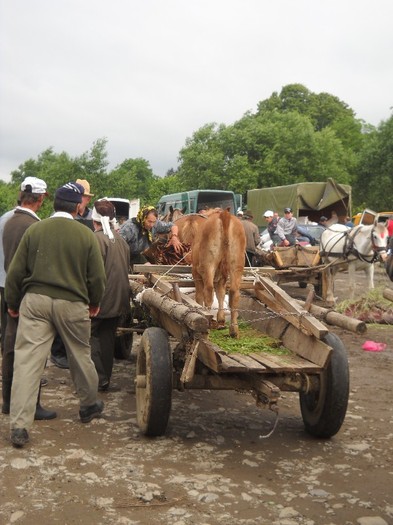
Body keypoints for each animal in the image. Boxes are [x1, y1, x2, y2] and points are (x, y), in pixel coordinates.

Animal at [190, 208, 245, 336]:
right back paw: (234, 330)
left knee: (208, 292)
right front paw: (221, 320)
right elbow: (221, 293)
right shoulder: (221, 277)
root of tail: (224, 214)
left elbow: (199, 296)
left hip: (208, 265)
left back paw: (208, 323)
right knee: (234, 293)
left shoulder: (196, 273)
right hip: (237, 265)